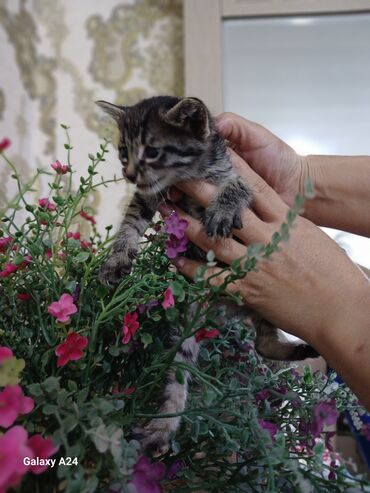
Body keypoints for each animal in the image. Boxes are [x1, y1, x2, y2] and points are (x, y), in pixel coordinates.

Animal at [95, 95, 318, 450]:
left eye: (152, 151)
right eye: (124, 152)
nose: (128, 174)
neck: (187, 175)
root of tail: (228, 309)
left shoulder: (238, 176)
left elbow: (239, 187)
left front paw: (223, 210)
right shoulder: (149, 194)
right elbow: (130, 223)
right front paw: (117, 261)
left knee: (263, 343)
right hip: (188, 321)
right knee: (188, 365)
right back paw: (163, 426)